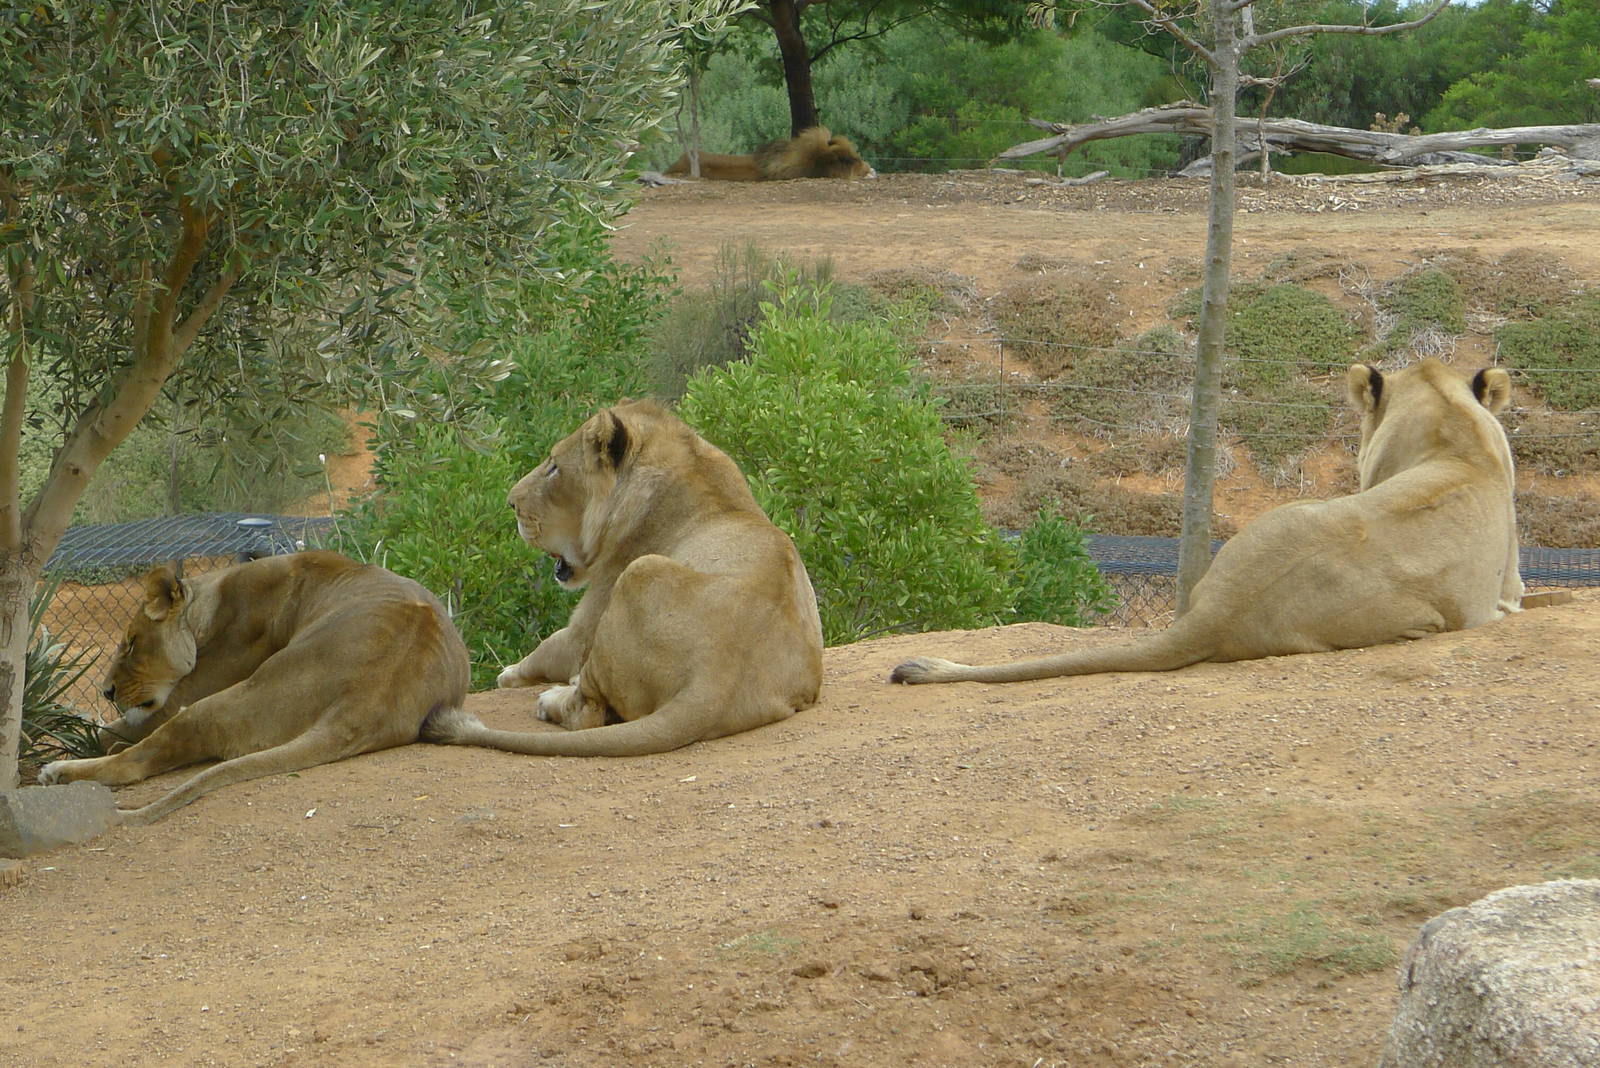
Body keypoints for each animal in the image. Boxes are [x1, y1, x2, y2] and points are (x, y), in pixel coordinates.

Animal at [38, 551, 470, 825]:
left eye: (130, 643)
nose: (106, 692)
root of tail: (364, 705)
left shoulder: (187, 693)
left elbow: (108, 733)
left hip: (222, 701)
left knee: (133, 763)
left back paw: (57, 773)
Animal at [422, 400, 824, 757]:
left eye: (554, 467)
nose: (511, 503)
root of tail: (715, 680)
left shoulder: (586, 626)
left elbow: (547, 647)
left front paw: (509, 673)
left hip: (640, 572)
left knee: (587, 713)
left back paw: (552, 700)